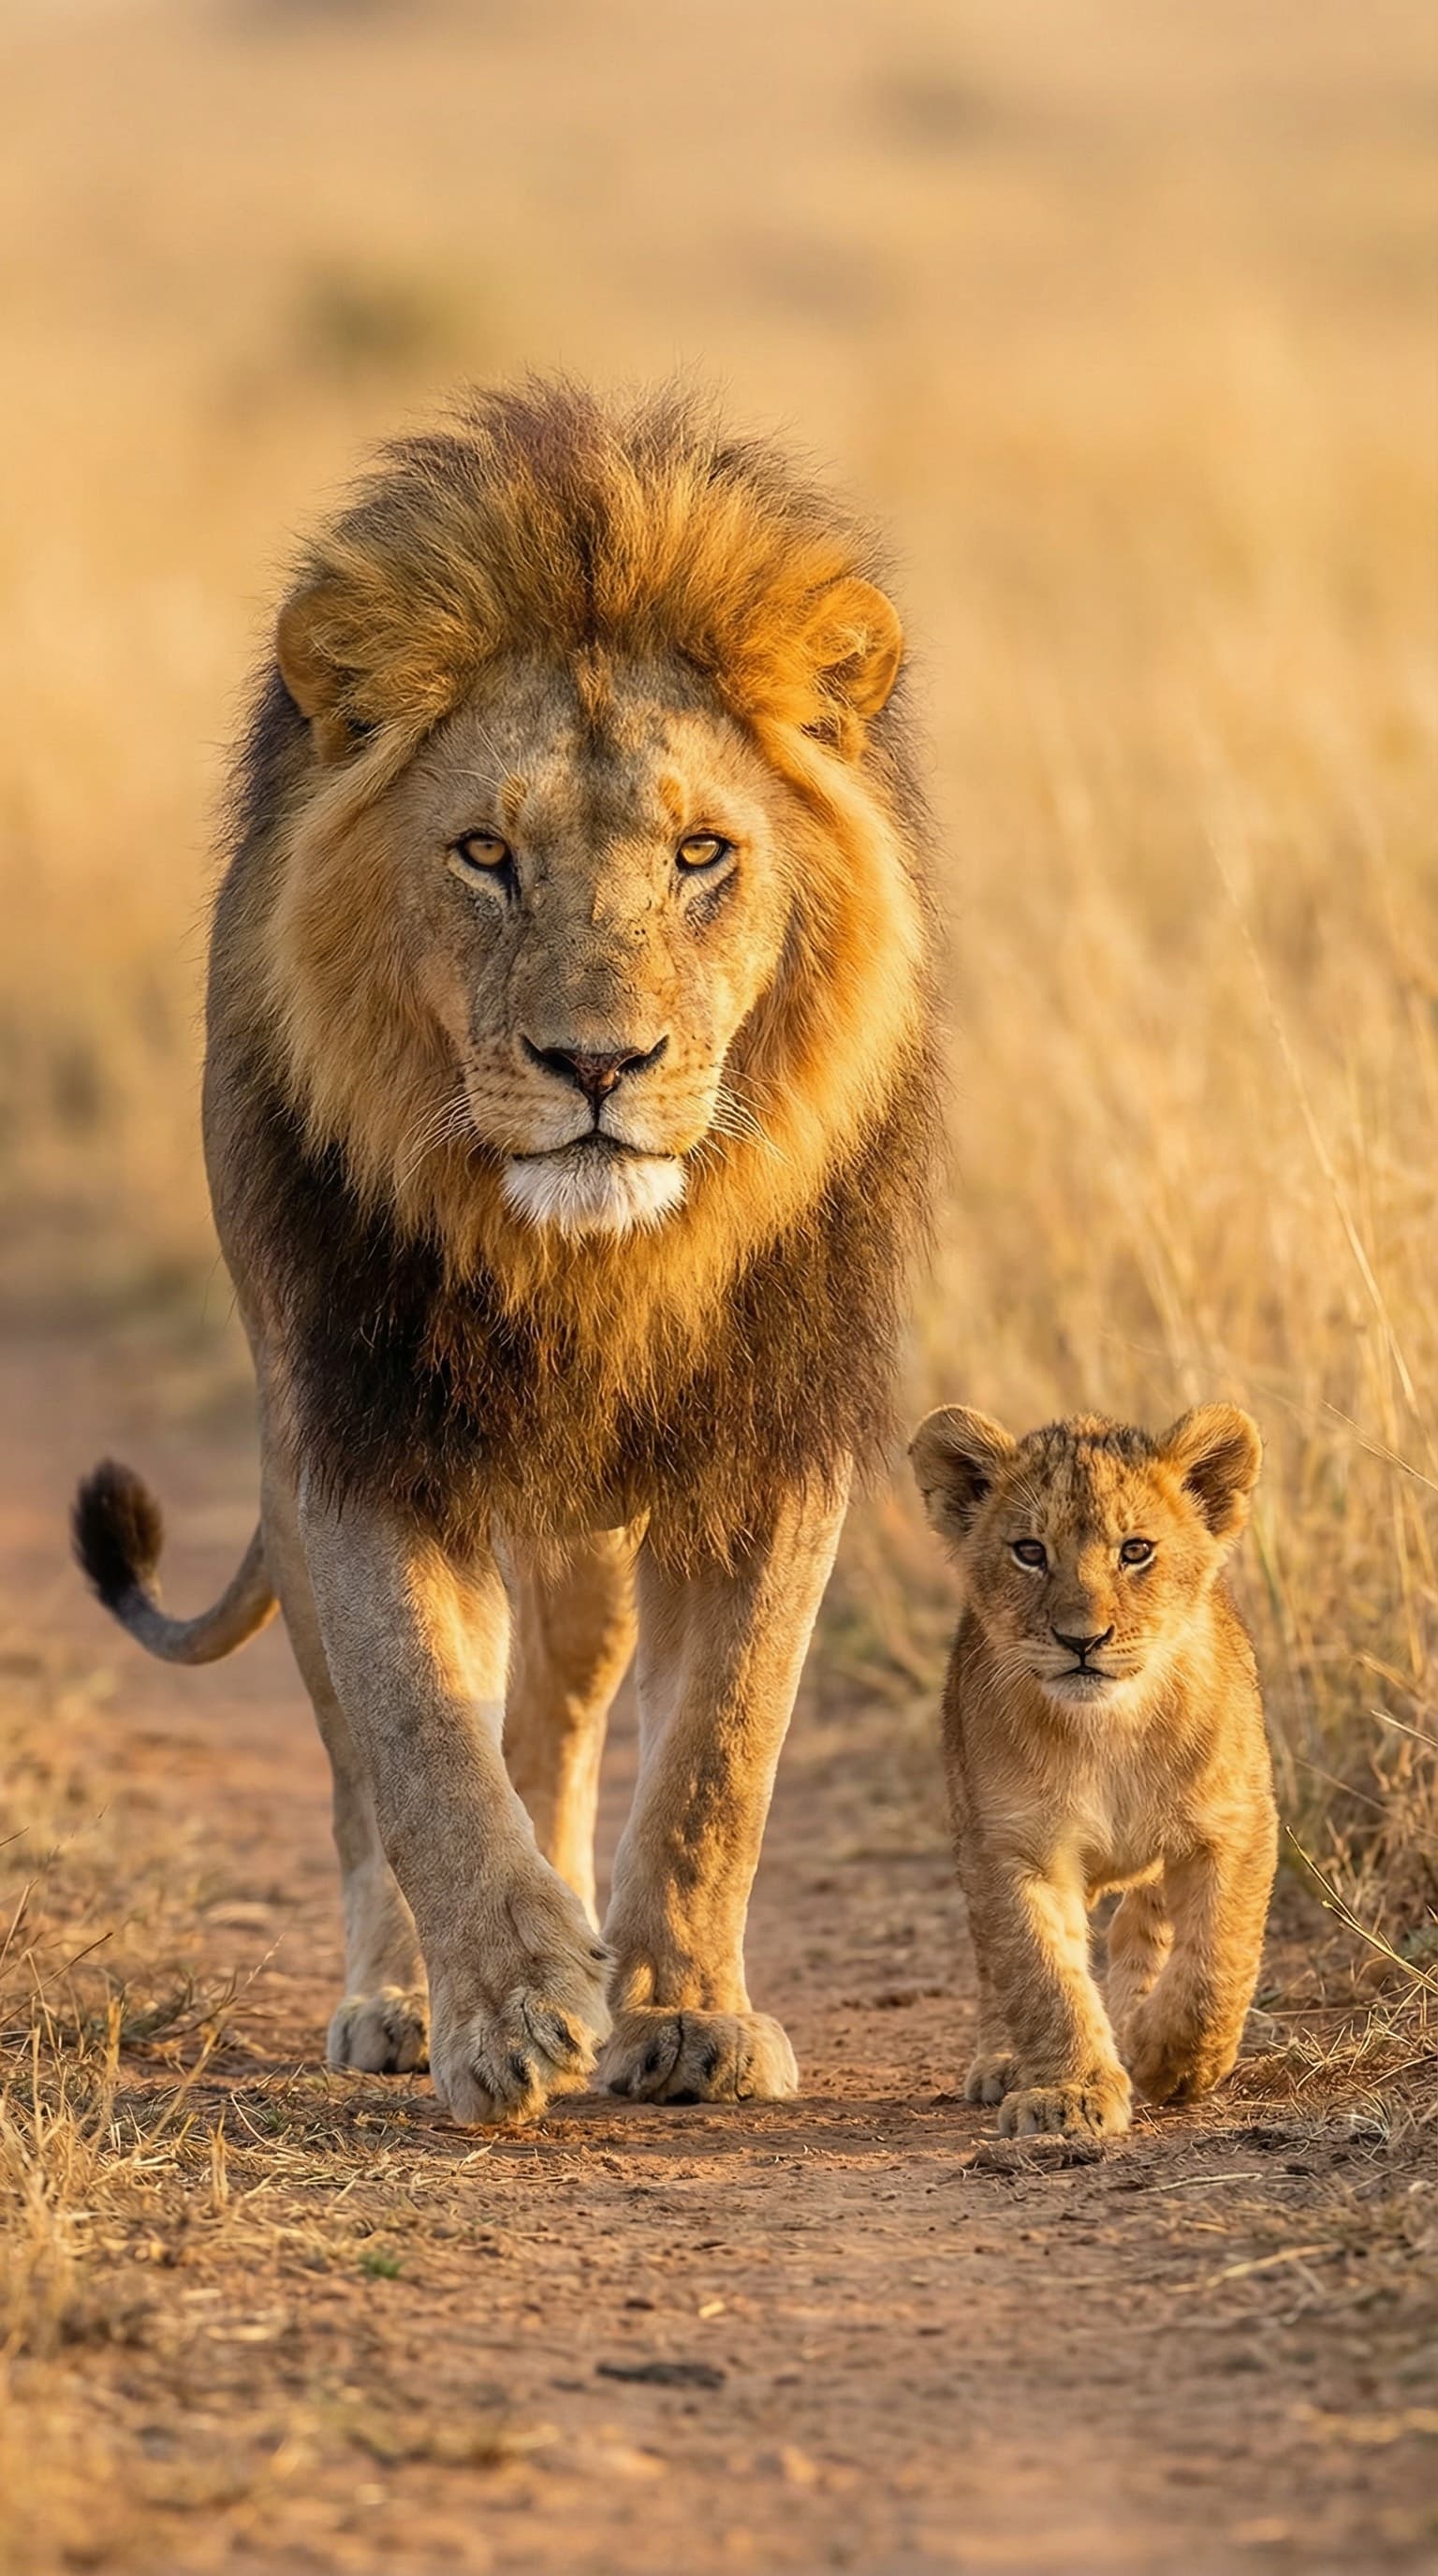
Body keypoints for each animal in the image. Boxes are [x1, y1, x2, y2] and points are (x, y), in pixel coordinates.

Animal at [73, 381, 936, 2126]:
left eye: (700, 854)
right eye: (484, 853)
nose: (595, 1063)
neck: (590, 1266)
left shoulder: (772, 1432)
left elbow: (720, 1752)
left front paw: (684, 2011)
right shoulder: (359, 1423)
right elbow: (418, 1735)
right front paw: (508, 2008)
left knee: (564, 1709)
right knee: (366, 1770)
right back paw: (396, 1998)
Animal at [909, 1404, 1277, 2139]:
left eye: (1135, 1550)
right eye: (1029, 1551)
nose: (1082, 1640)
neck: (1107, 1732)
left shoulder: (1236, 1825)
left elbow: (1216, 1959)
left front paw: (1173, 2060)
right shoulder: (1011, 1847)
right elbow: (1040, 1973)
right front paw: (1070, 2093)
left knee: (1147, 1926)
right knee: (996, 1964)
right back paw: (1003, 2061)